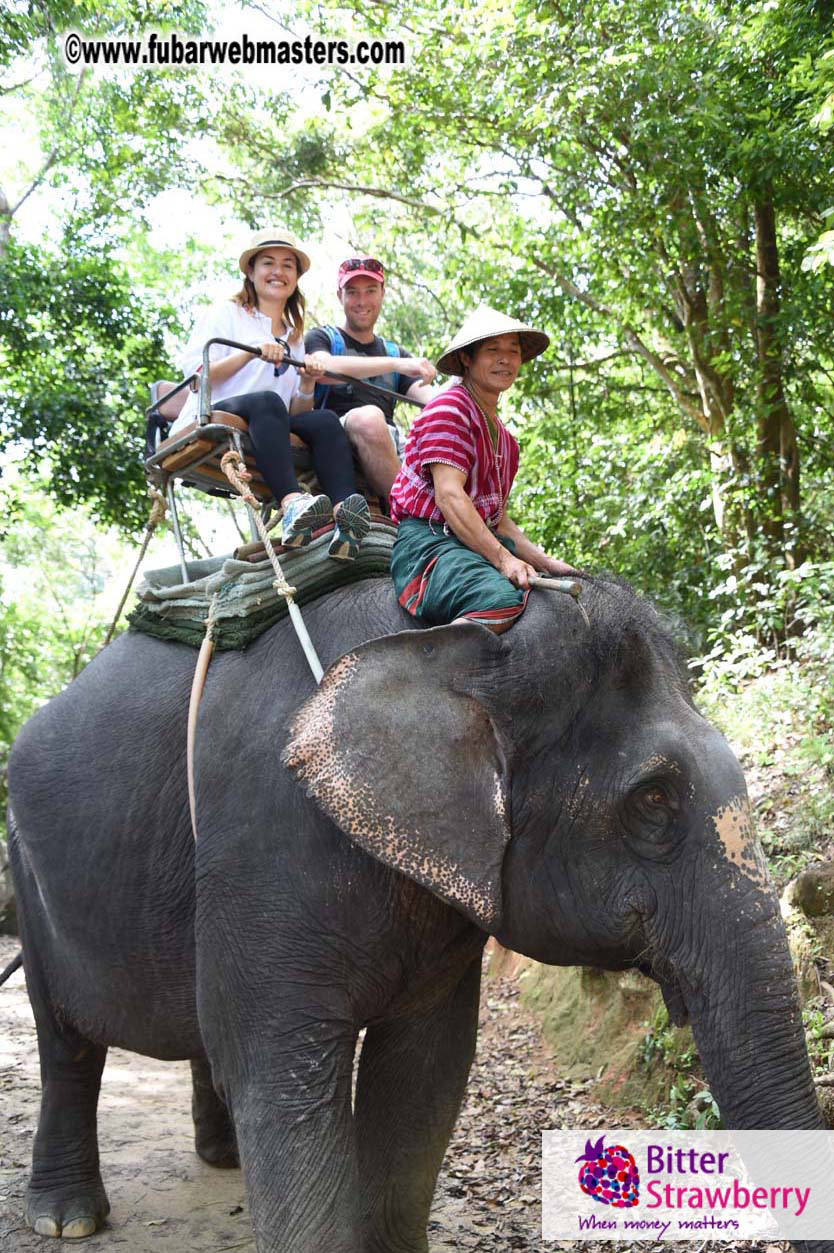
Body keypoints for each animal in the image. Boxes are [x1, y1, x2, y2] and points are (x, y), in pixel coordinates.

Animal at [7, 573, 833, 1252]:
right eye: (653, 799)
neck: (458, 637)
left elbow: (423, 1073)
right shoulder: (262, 841)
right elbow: (282, 1078)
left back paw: (223, 1157)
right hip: (28, 873)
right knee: (65, 1042)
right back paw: (66, 1217)